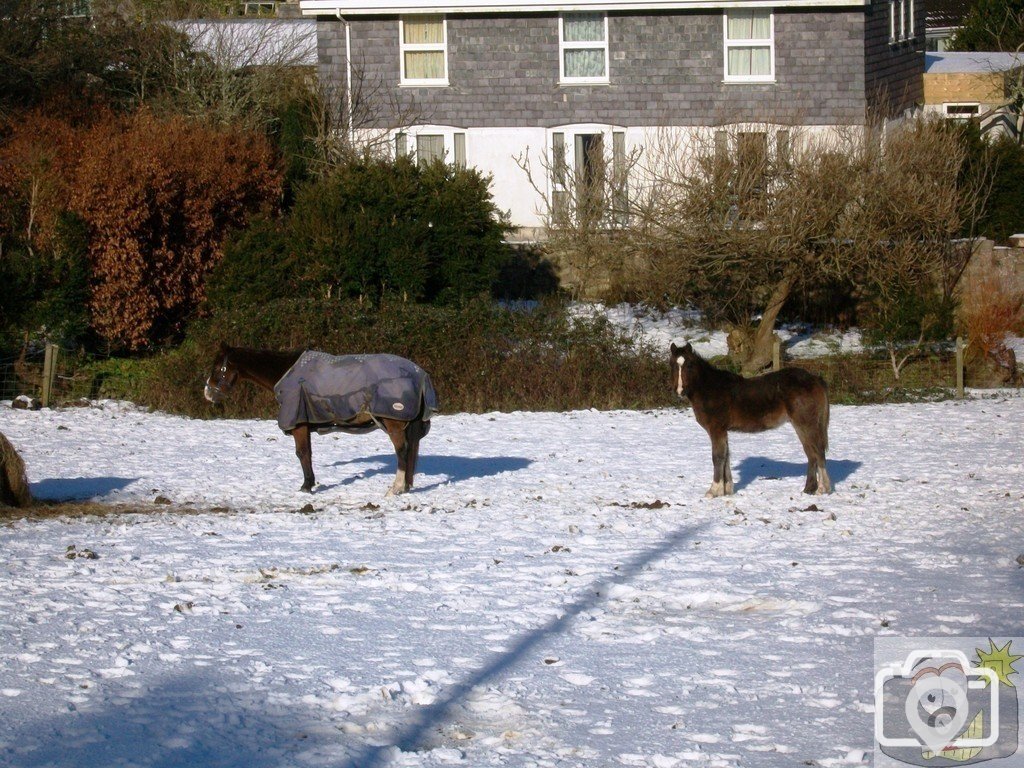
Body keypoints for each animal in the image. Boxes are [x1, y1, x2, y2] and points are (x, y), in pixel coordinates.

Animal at [671, 342, 831, 499]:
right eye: (673, 365)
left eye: (689, 365)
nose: (679, 391)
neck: (711, 389)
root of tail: (815, 379)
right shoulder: (723, 430)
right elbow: (726, 456)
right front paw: (727, 490)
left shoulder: (716, 429)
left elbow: (718, 457)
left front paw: (714, 491)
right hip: (799, 425)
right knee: (810, 453)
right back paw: (808, 489)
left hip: (807, 424)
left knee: (818, 452)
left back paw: (822, 489)